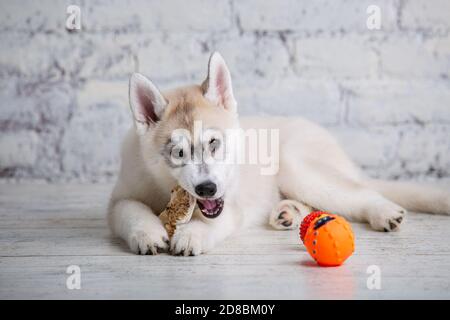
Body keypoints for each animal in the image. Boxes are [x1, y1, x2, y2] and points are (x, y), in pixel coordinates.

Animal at [109, 53, 450, 258]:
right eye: (178, 152)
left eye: (214, 143)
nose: (207, 189)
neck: (165, 188)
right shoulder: (122, 195)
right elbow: (129, 211)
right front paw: (146, 233)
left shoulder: (231, 204)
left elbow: (213, 222)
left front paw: (193, 235)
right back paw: (288, 213)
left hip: (294, 165)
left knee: (360, 193)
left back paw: (383, 212)